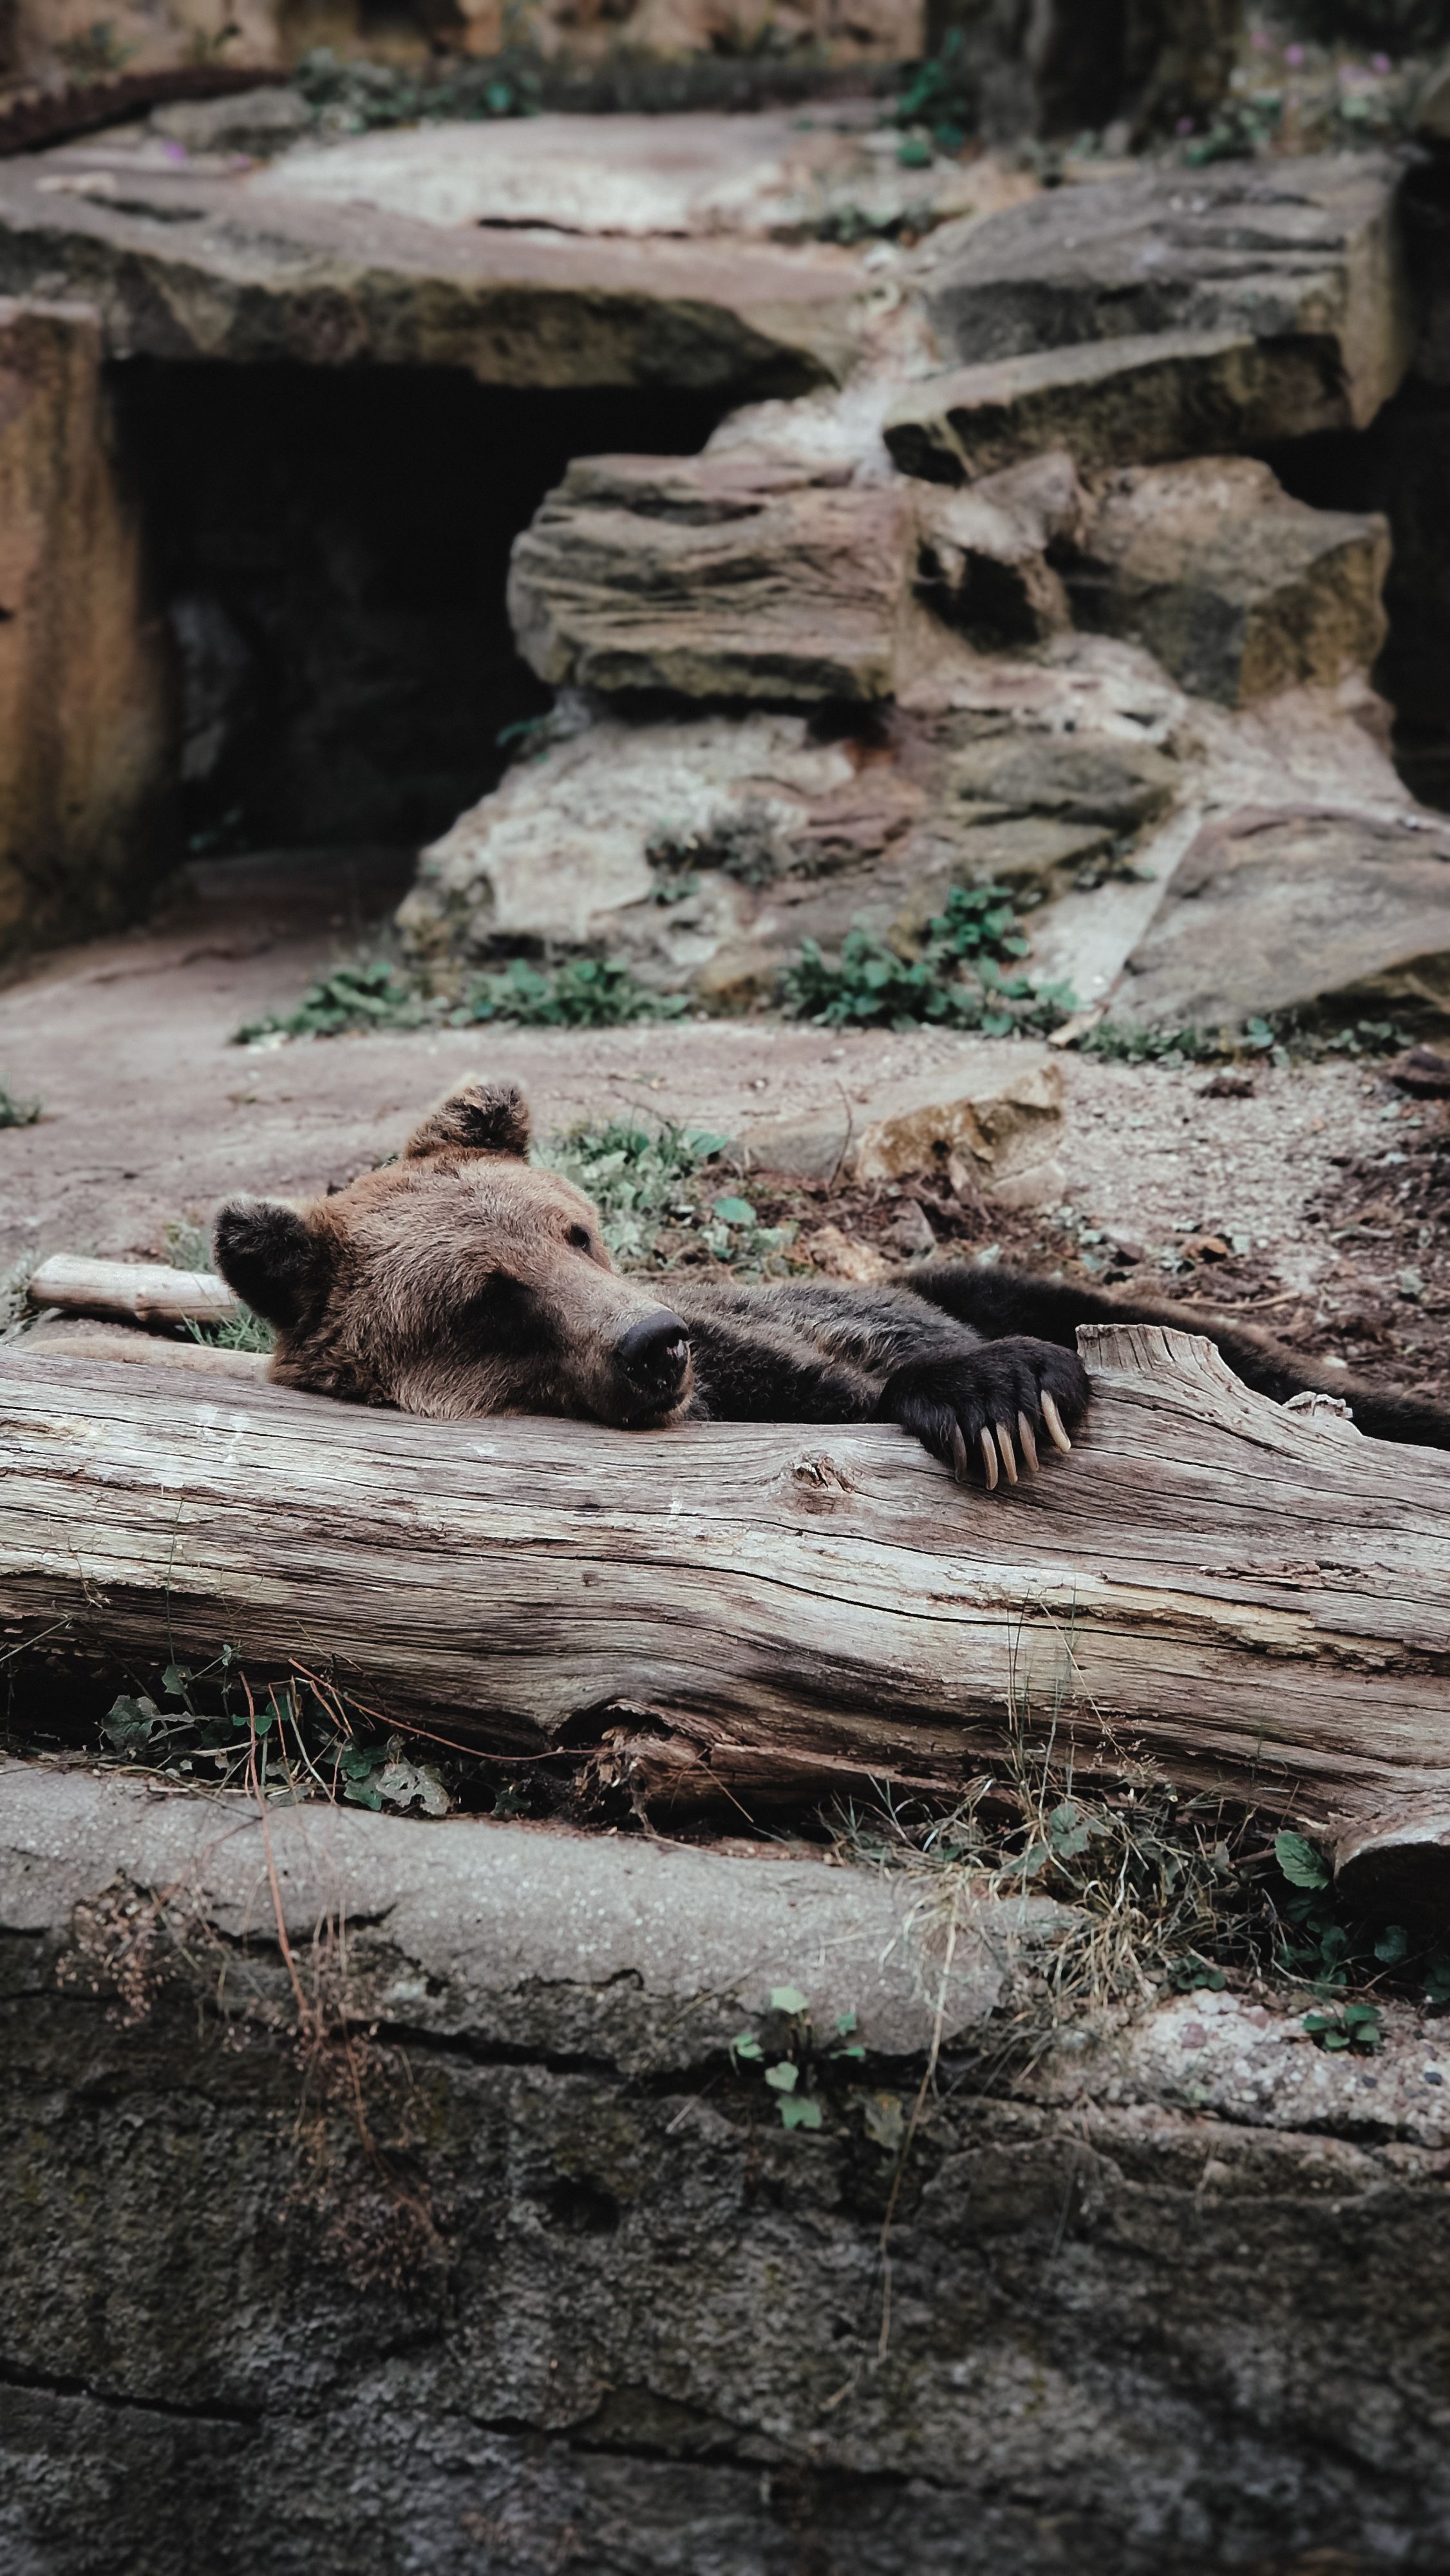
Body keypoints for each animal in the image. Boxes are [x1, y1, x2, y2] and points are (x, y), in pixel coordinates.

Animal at [213, 1078, 1450, 1488]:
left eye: (578, 1234)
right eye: (489, 1299)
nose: (653, 1343)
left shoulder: (760, 1341)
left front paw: (1000, 1394)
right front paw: (993, 1403)